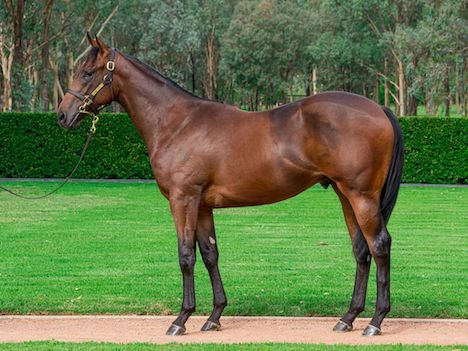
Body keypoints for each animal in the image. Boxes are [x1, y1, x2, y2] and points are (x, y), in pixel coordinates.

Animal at [57, 36, 402, 338]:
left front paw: (181, 319)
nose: (62, 115)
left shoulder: (183, 199)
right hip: (346, 195)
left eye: (87, 72)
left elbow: (186, 256)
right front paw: (214, 316)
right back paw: (348, 318)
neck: (176, 123)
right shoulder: (202, 205)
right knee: (361, 249)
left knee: (380, 245)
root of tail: (379, 109)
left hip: (361, 196)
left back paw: (376, 321)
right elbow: (210, 254)